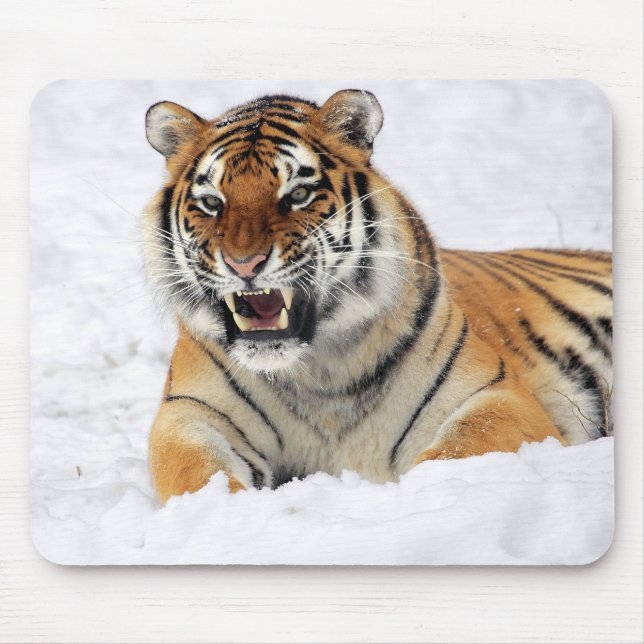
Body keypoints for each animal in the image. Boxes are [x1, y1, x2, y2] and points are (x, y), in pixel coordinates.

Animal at [143, 89, 612, 503]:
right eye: (212, 202)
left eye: (298, 195)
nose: (244, 264)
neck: (318, 372)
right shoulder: (190, 413)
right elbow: (195, 474)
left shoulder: (495, 395)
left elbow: (460, 449)